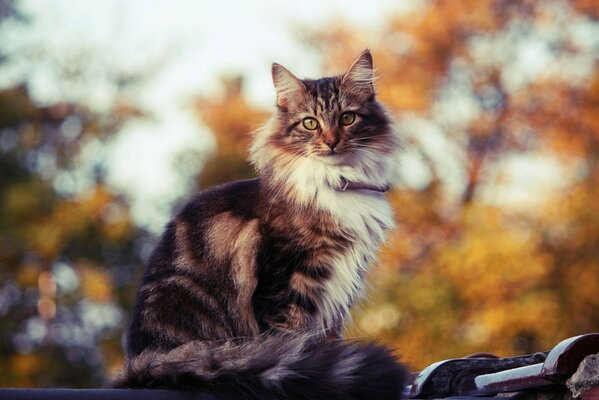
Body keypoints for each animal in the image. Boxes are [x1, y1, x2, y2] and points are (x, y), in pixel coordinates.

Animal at [115, 50, 410, 400]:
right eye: (310, 123)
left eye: (348, 118)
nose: (331, 142)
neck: (338, 184)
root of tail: (141, 362)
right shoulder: (286, 281)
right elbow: (293, 341)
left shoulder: (336, 293)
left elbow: (325, 344)